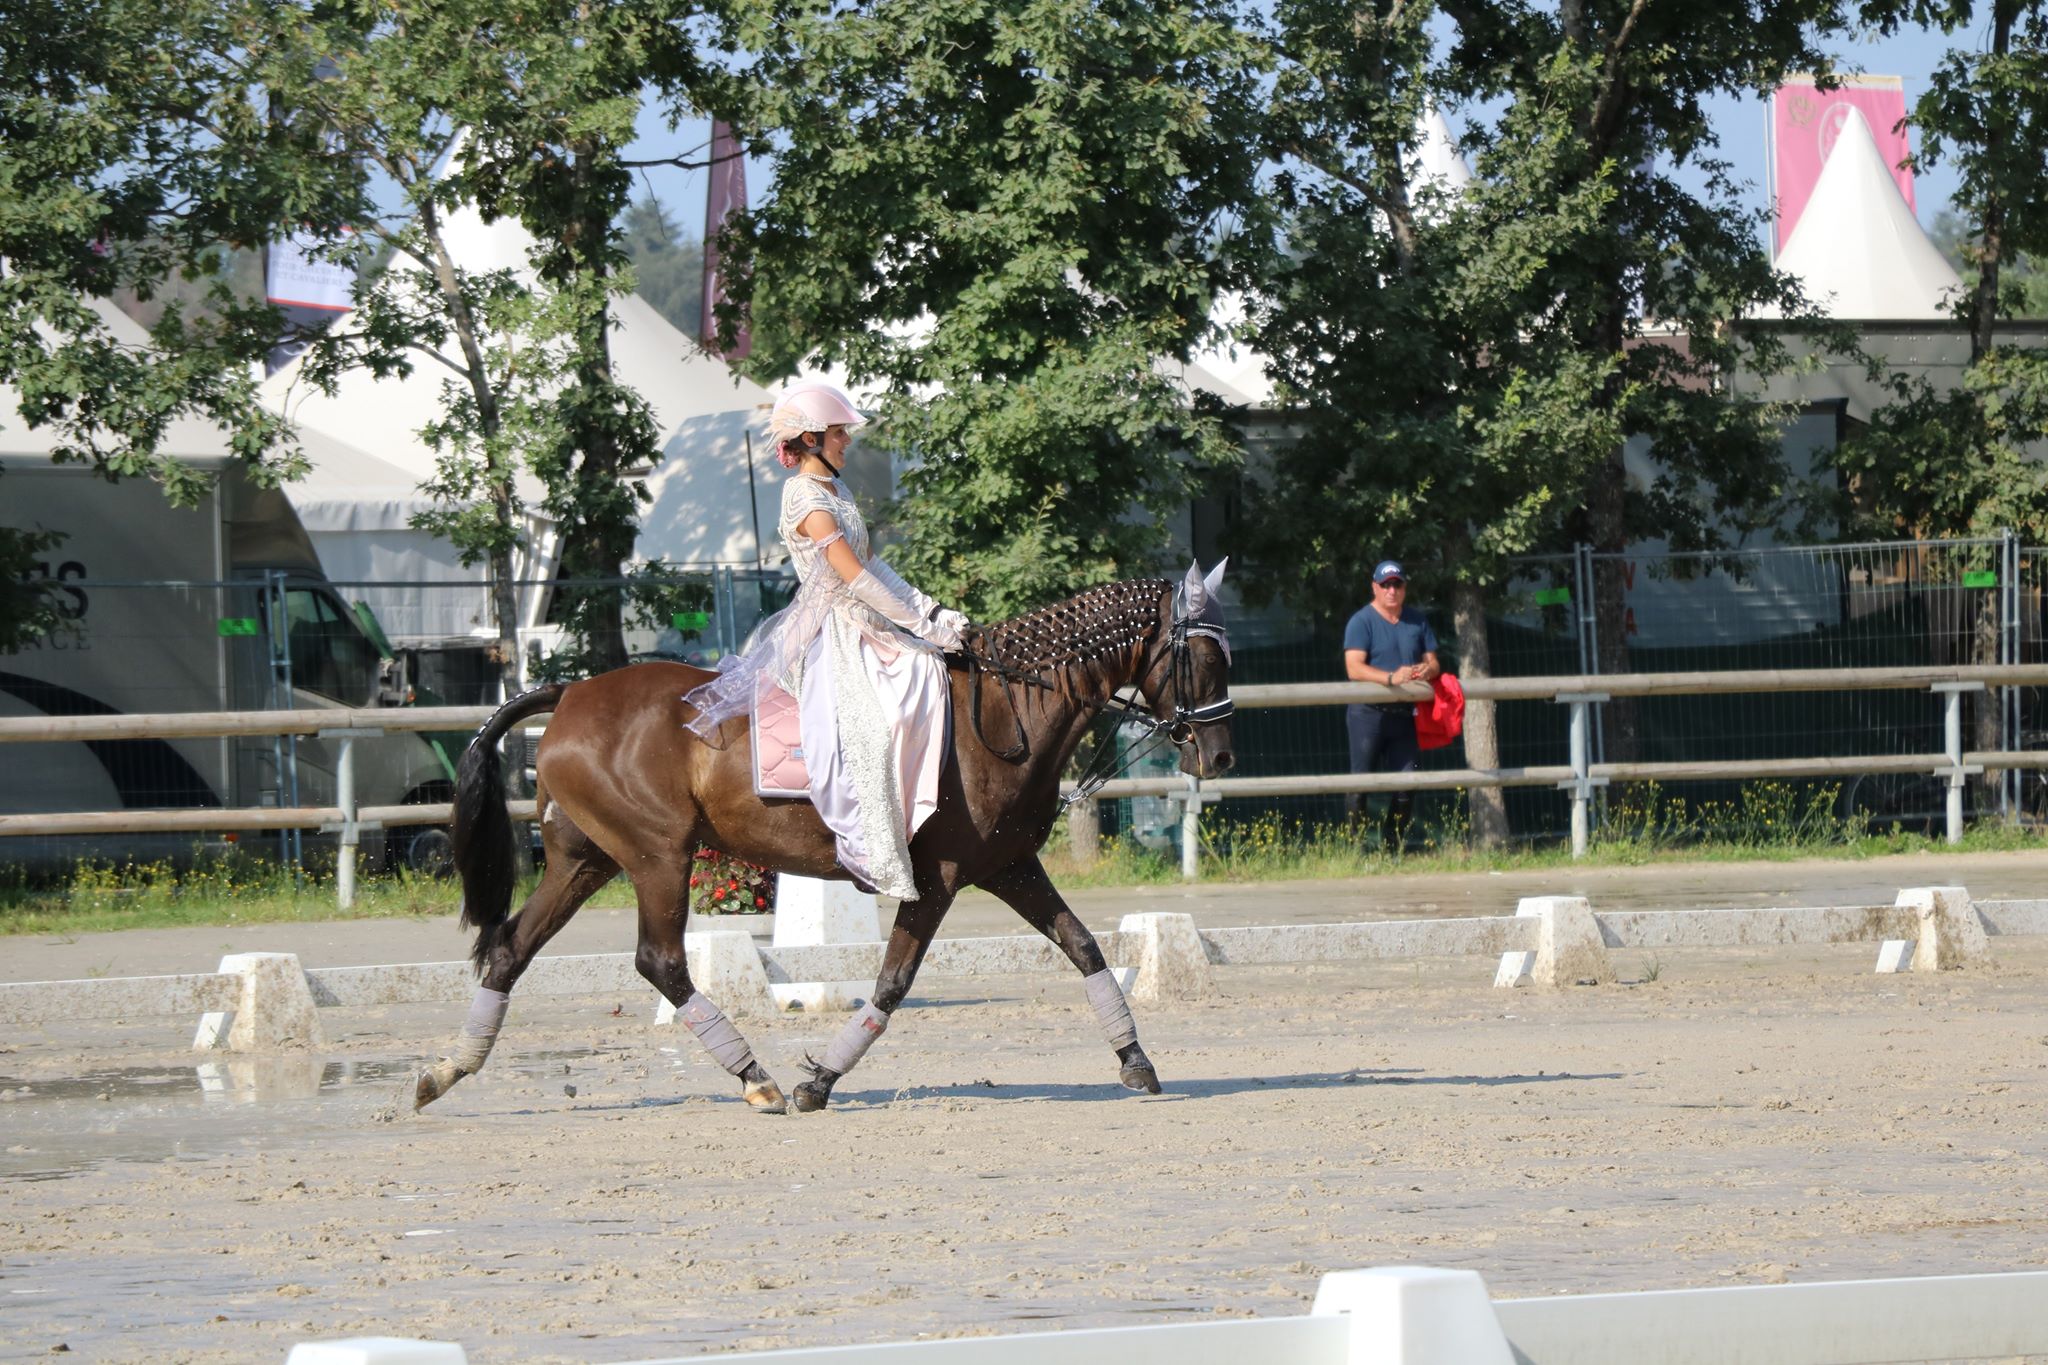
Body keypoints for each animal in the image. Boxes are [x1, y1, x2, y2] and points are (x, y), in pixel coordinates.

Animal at [415, 560, 1228, 1113]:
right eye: (1200, 657)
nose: (1219, 758)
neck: (1005, 713)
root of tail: (572, 691)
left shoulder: (1010, 865)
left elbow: (1084, 945)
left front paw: (1136, 1061)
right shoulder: (938, 875)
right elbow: (893, 981)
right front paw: (819, 1079)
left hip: (585, 860)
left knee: (510, 950)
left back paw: (447, 1070)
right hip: (656, 855)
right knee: (660, 961)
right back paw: (758, 1079)